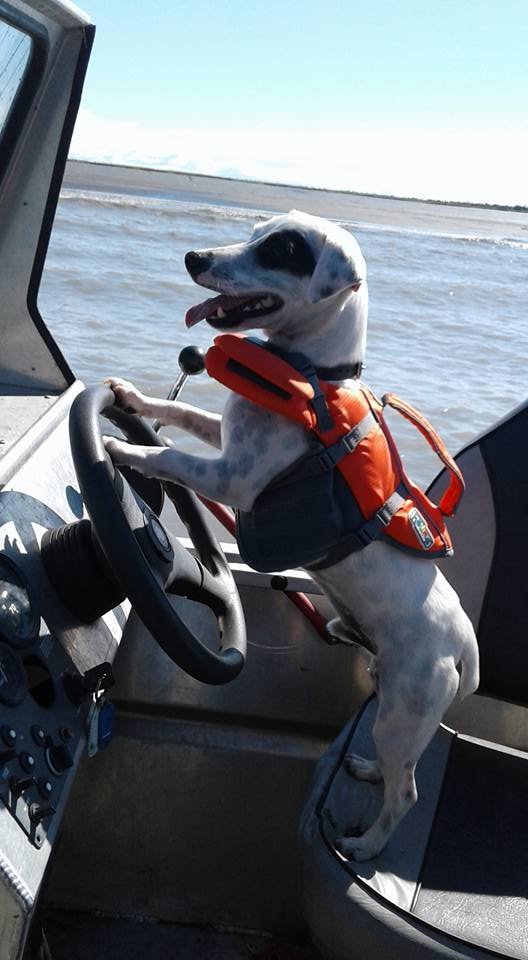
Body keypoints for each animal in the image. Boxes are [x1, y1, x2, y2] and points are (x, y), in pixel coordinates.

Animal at [104, 212, 478, 864]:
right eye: (258, 233)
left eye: (282, 250)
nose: (194, 257)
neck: (311, 377)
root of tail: (463, 641)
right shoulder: (227, 435)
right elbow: (182, 417)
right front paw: (131, 400)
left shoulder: (233, 477)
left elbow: (171, 456)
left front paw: (124, 450)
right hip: (399, 707)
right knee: (401, 768)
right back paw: (368, 770)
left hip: (405, 706)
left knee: (406, 793)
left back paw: (366, 845)